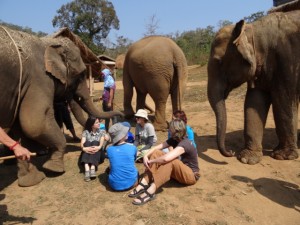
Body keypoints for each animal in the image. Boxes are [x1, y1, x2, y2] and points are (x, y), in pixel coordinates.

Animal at [0, 25, 122, 186]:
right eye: (80, 75)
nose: (121, 114)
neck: (47, 43)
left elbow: (22, 126)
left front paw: (32, 180)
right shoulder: (40, 79)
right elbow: (35, 123)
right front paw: (54, 169)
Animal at [207, 7, 298, 164]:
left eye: (219, 62)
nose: (230, 152)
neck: (252, 29)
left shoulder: (286, 59)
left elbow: (284, 100)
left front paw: (282, 156)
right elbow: (254, 102)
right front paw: (246, 159)